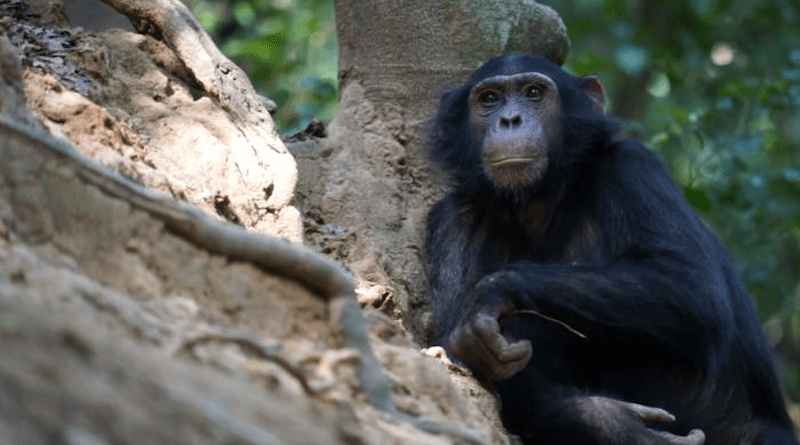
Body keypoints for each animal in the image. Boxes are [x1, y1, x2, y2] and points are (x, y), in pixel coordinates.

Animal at [428, 53, 796, 444]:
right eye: (490, 99)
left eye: (533, 93)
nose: (510, 119)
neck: (540, 198)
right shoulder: (454, 218)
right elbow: (456, 352)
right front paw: (616, 423)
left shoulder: (631, 167)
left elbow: (691, 285)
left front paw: (491, 293)